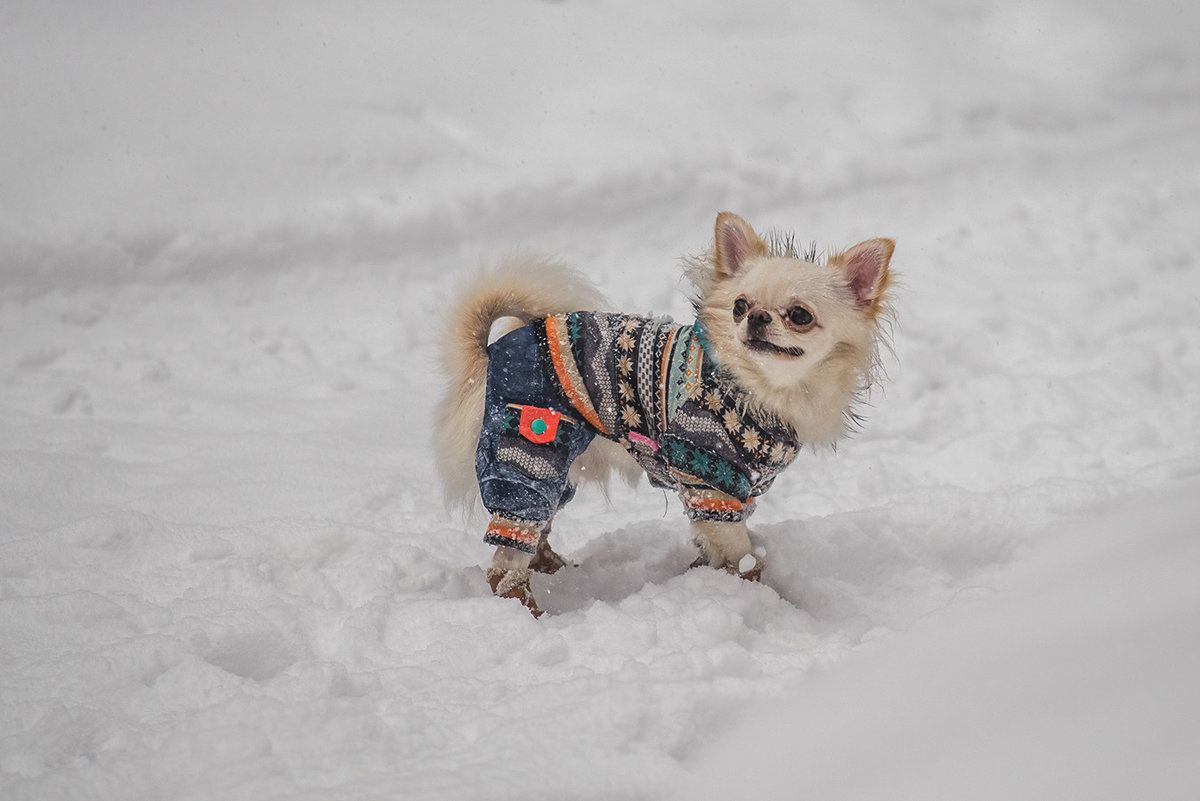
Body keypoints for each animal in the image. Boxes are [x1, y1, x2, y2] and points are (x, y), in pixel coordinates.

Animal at [434, 209, 892, 618]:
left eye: (800, 315)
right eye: (740, 306)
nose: (757, 317)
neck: (759, 389)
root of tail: (491, 352)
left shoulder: (734, 491)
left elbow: (719, 544)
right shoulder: (708, 477)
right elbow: (744, 557)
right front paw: (762, 598)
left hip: (554, 465)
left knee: (534, 533)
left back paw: (559, 569)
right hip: (527, 447)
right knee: (504, 566)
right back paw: (534, 615)